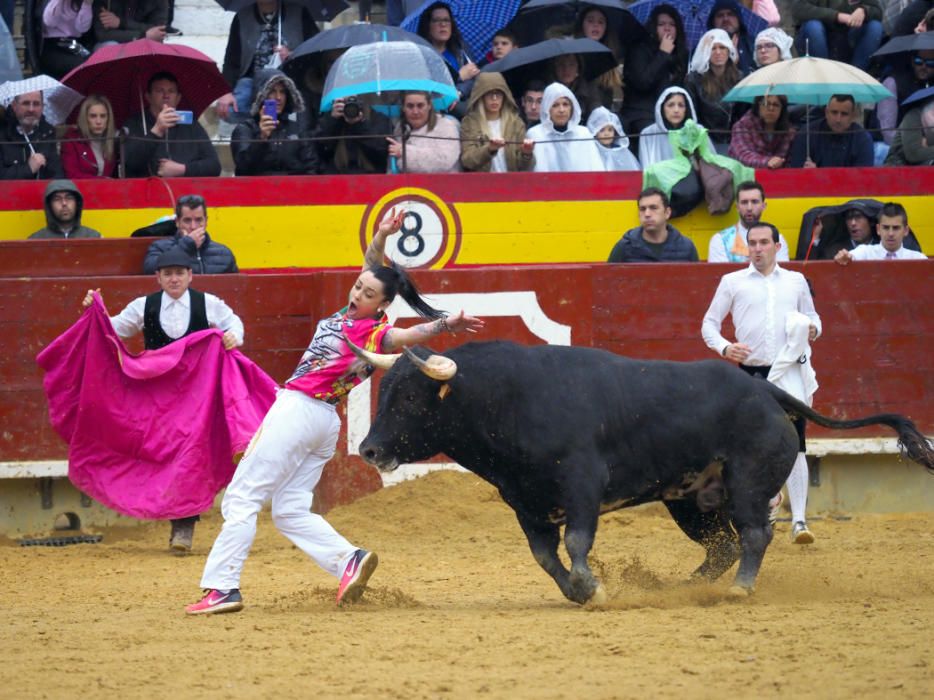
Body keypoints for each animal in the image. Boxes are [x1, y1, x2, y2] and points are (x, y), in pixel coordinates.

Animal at [354, 342, 932, 604]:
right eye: (384, 393)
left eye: (410, 398)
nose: (368, 448)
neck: (503, 399)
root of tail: (766, 392)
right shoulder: (526, 505)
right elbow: (545, 557)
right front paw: (579, 592)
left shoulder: (582, 486)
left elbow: (577, 542)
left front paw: (591, 587)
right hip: (692, 501)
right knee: (721, 545)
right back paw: (680, 587)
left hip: (746, 485)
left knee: (753, 535)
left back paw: (739, 590)